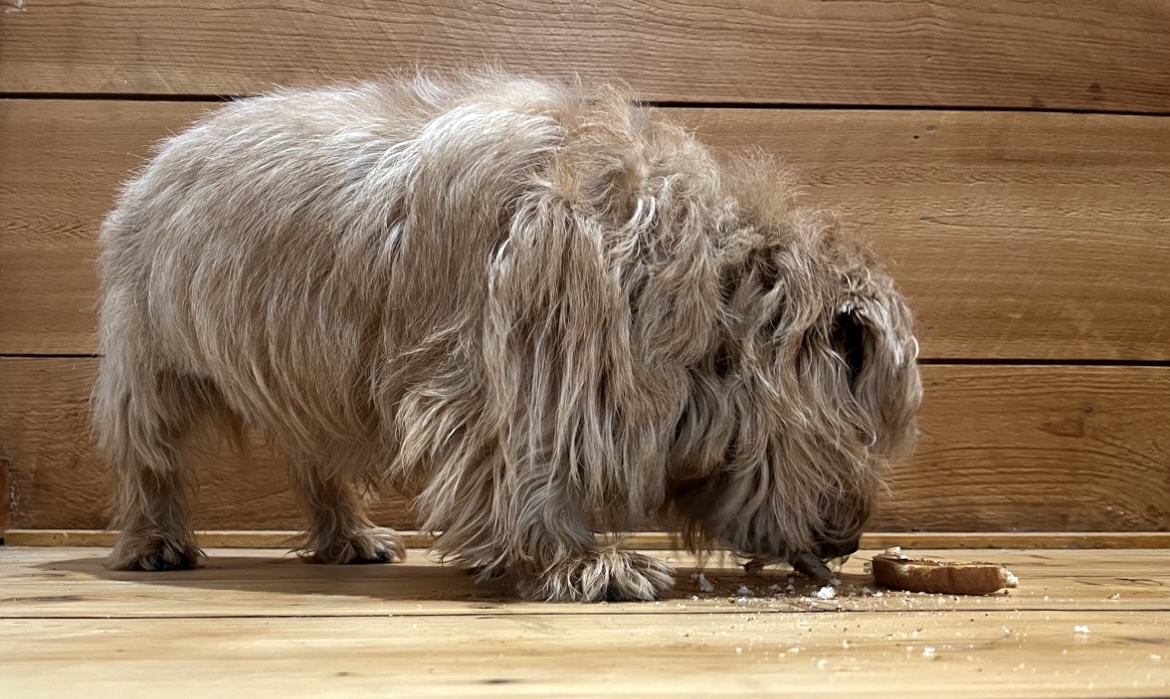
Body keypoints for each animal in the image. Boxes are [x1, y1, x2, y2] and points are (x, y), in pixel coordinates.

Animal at [93, 72, 921, 604]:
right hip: (152, 355)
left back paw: (346, 532)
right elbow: (526, 468)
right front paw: (583, 563)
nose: (851, 540)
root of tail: (167, 150)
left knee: (314, 457)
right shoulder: (517, 367)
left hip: (301, 373)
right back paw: (154, 540)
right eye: (861, 435)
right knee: (148, 451)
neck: (696, 283)